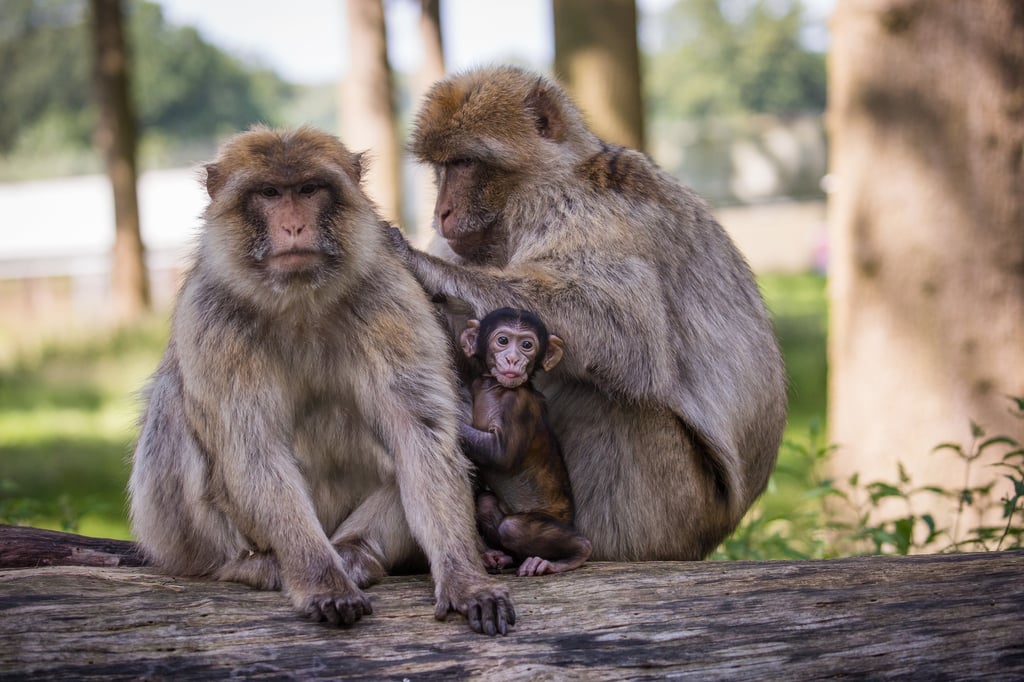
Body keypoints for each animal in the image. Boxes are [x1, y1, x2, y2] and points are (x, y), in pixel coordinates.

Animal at [128, 125, 515, 635]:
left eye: (309, 190)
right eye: (271, 194)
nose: (293, 227)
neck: (300, 300)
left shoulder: (389, 298)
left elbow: (420, 437)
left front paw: (465, 580)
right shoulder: (210, 317)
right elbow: (253, 449)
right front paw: (323, 583)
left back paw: (356, 551)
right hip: (175, 541)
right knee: (172, 404)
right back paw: (247, 564)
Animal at [458, 308, 592, 577]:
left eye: (527, 345)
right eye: (502, 341)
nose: (512, 359)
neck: (493, 385)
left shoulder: (516, 405)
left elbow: (500, 453)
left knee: (513, 527)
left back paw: (567, 556)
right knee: (485, 503)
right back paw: (504, 558)